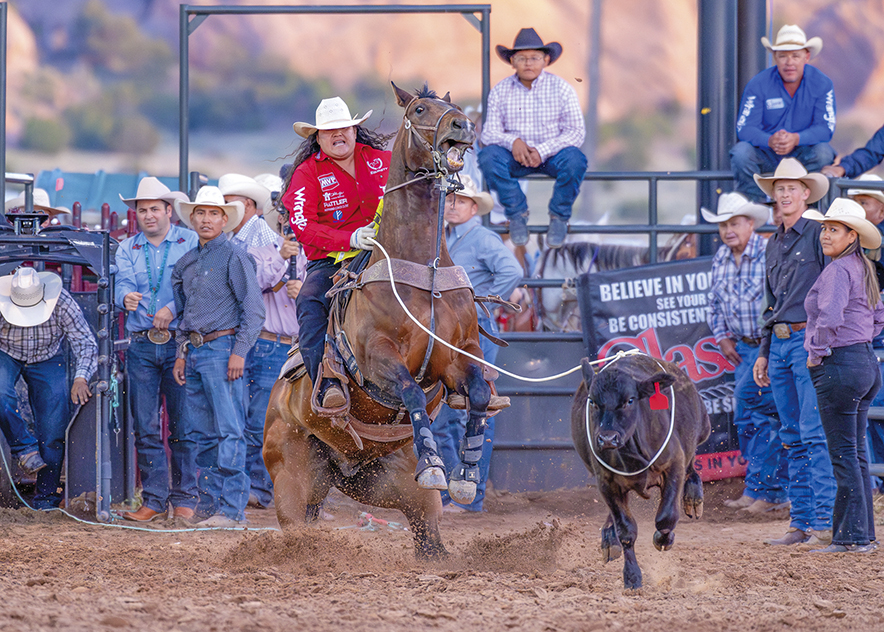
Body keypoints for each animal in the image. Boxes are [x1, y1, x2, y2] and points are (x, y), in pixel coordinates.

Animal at [264, 84, 484, 556]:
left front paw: (466, 477)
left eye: (454, 107)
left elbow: (477, 393)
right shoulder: (378, 360)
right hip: (291, 480)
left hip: (394, 488)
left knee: (428, 536)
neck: (424, 267)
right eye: (419, 109)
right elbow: (412, 392)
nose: (463, 125)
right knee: (297, 529)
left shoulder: (459, 356)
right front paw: (435, 464)